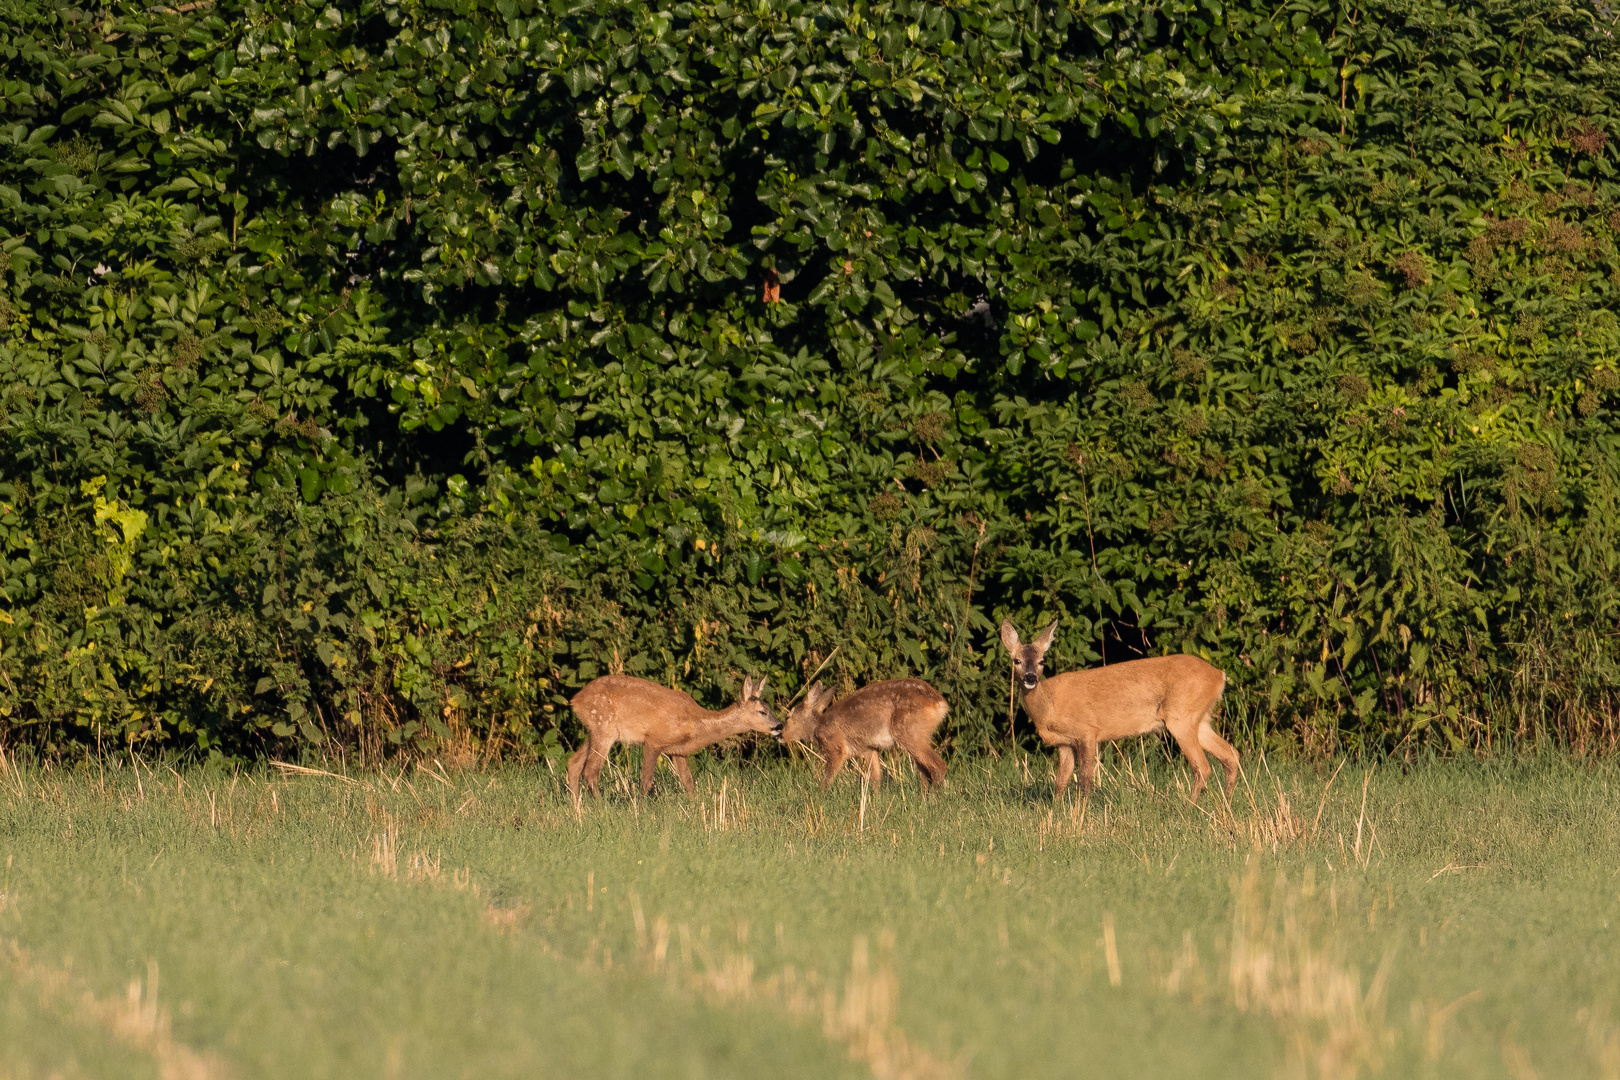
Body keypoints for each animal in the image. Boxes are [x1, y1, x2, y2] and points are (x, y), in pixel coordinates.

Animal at [563, 676, 777, 803]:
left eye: (769, 708)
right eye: (762, 711)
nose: (779, 726)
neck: (695, 724)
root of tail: (575, 701)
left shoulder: (678, 752)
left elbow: (689, 782)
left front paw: (696, 810)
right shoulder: (653, 740)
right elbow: (646, 780)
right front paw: (640, 811)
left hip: (594, 731)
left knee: (573, 763)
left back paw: (578, 811)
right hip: (604, 727)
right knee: (591, 770)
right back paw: (602, 809)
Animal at [780, 676, 946, 793]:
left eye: (788, 717)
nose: (780, 735)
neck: (817, 727)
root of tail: (941, 704)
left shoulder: (836, 747)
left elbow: (827, 779)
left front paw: (818, 796)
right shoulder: (868, 748)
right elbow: (875, 779)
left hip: (908, 731)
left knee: (938, 765)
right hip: (920, 735)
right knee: (925, 772)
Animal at [997, 615, 1237, 803]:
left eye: (1041, 661)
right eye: (1016, 660)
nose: (1030, 678)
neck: (1049, 708)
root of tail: (1219, 675)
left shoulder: (1087, 731)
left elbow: (1085, 779)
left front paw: (1079, 815)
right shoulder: (1065, 743)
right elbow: (1060, 782)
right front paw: (1055, 813)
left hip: (1181, 717)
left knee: (1203, 766)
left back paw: (1188, 809)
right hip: (1200, 719)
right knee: (1231, 755)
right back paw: (1225, 805)